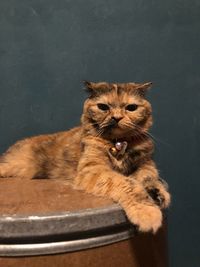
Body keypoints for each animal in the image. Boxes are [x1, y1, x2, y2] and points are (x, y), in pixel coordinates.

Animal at [0, 81, 170, 232]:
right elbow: (129, 184)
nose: (116, 118)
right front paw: (147, 212)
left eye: (131, 108)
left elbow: (149, 177)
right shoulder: (93, 169)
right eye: (103, 107)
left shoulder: (146, 163)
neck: (118, 143)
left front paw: (157, 194)